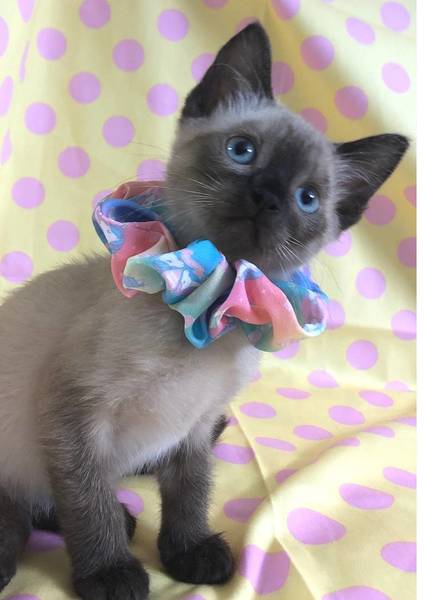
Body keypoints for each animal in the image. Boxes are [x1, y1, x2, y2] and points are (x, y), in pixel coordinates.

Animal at [0, 23, 408, 600]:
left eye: (307, 198)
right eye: (242, 151)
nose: (268, 197)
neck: (210, 304)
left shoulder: (195, 427)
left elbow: (189, 495)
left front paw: (187, 553)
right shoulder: (74, 416)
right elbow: (87, 501)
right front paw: (109, 573)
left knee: (42, 504)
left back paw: (123, 520)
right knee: (19, 510)